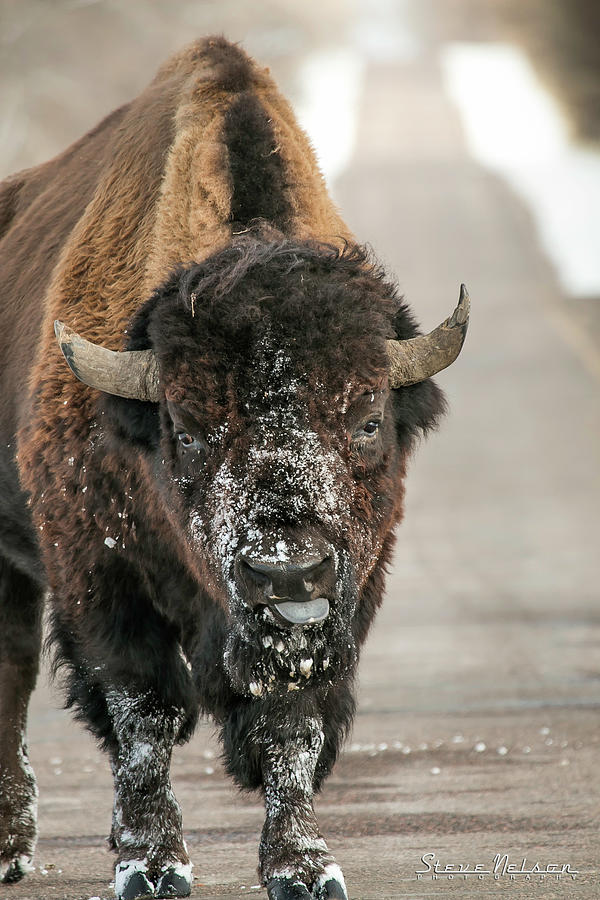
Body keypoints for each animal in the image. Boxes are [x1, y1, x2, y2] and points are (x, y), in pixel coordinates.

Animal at [0, 37, 468, 900]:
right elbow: (143, 713)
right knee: (11, 672)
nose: (287, 571)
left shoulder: (340, 602)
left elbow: (293, 723)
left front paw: (304, 867)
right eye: (187, 430)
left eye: (368, 419)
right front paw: (151, 865)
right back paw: (12, 846)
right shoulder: (101, 578)